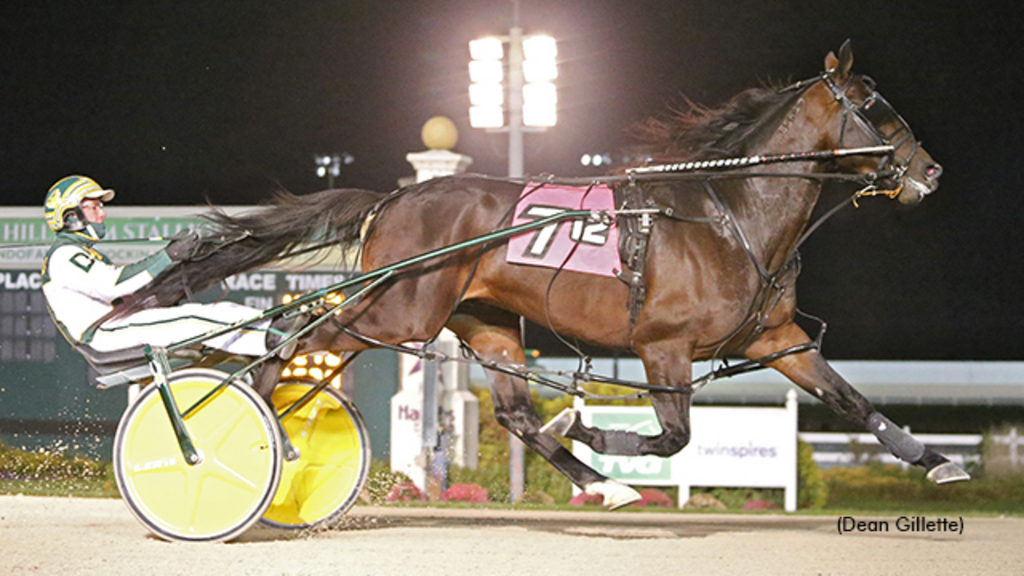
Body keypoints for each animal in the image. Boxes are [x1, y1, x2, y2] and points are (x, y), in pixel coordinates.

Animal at [132, 41, 962, 506]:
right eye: (871, 103)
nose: (929, 170)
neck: (729, 213)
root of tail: (394, 197)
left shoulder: (774, 338)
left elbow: (850, 400)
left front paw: (935, 461)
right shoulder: (664, 346)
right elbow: (674, 437)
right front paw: (593, 427)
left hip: (486, 322)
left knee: (516, 416)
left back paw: (603, 484)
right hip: (397, 312)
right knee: (298, 337)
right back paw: (257, 429)